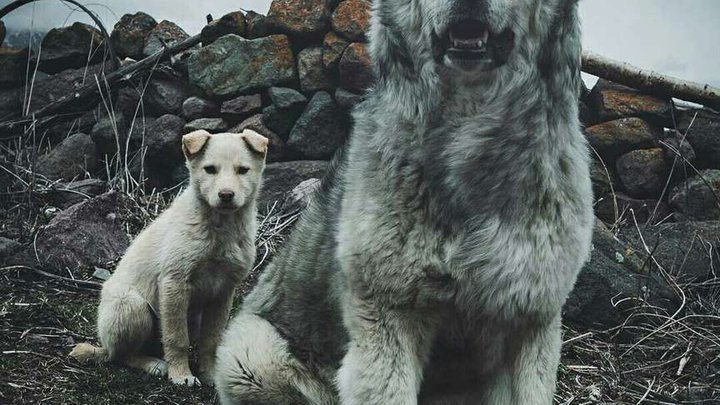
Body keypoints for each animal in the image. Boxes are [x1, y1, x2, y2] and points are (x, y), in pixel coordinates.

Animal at [71, 129, 268, 386]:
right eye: (210, 169)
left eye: (243, 170)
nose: (226, 195)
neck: (220, 228)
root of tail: (103, 346)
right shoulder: (175, 283)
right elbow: (177, 338)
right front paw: (182, 375)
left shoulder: (223, 291)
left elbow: (211, 339)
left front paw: (209, 374)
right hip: (131, 305)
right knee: (120, 355)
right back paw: (154, 364)